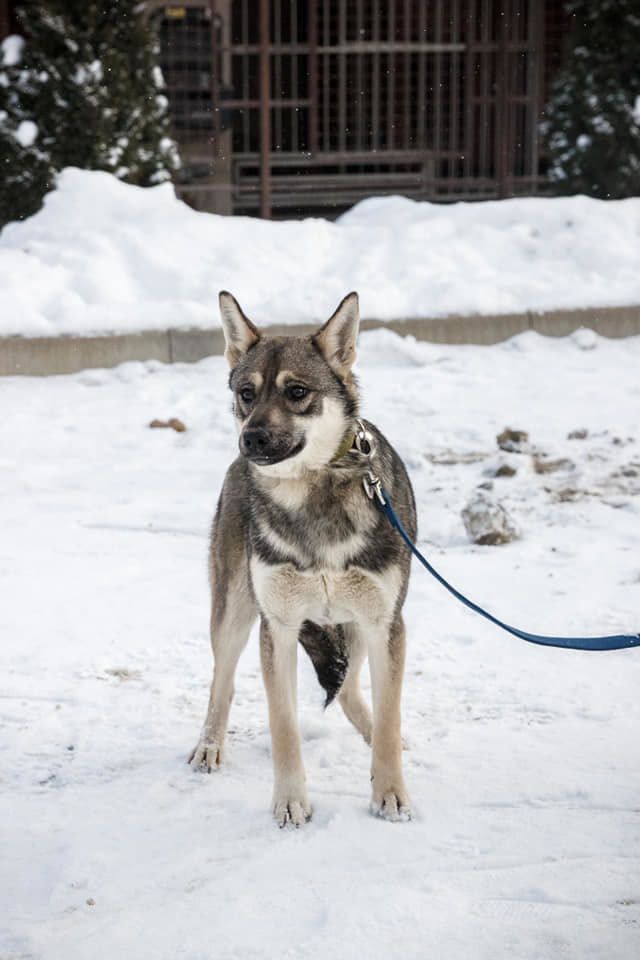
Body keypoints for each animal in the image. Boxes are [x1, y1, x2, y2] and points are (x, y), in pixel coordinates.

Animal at [188, 288, 418, 820]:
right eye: (246, 393)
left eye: (296, 392)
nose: (250, 438)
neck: (311, 494)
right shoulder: (278, 627)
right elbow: (283, 726)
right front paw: (291, 803)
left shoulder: (386, 624)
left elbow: (390, 713)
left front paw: (390, 792)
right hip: (234, 612)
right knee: (222, 680)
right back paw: (210, 745)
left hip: (356, 625)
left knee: (355, 692)